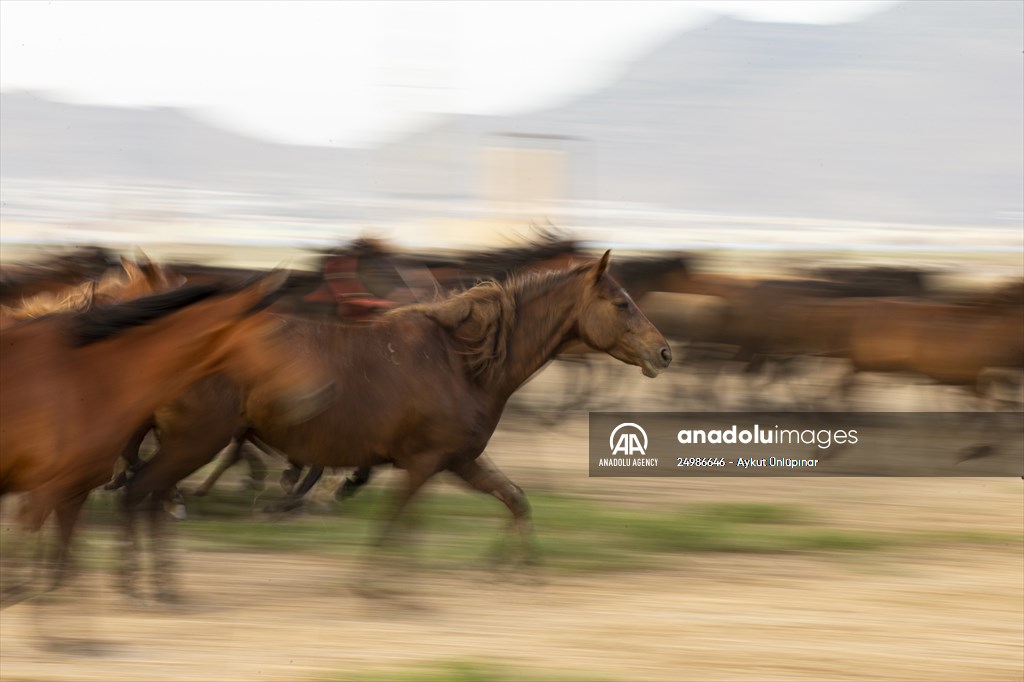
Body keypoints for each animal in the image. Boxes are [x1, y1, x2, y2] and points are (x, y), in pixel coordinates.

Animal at [119, 251, 671, 598]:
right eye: (622, 303)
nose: (664, 352)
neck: (463, 363)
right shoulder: (424, 463)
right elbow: (396, 523)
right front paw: (379, 587)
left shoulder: (460, 460)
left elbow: (515, 499)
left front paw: (516, 570)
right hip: (194, 441)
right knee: (142, 494)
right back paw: (147, 586)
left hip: (182, 443)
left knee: (148, 496)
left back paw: (159, 585)